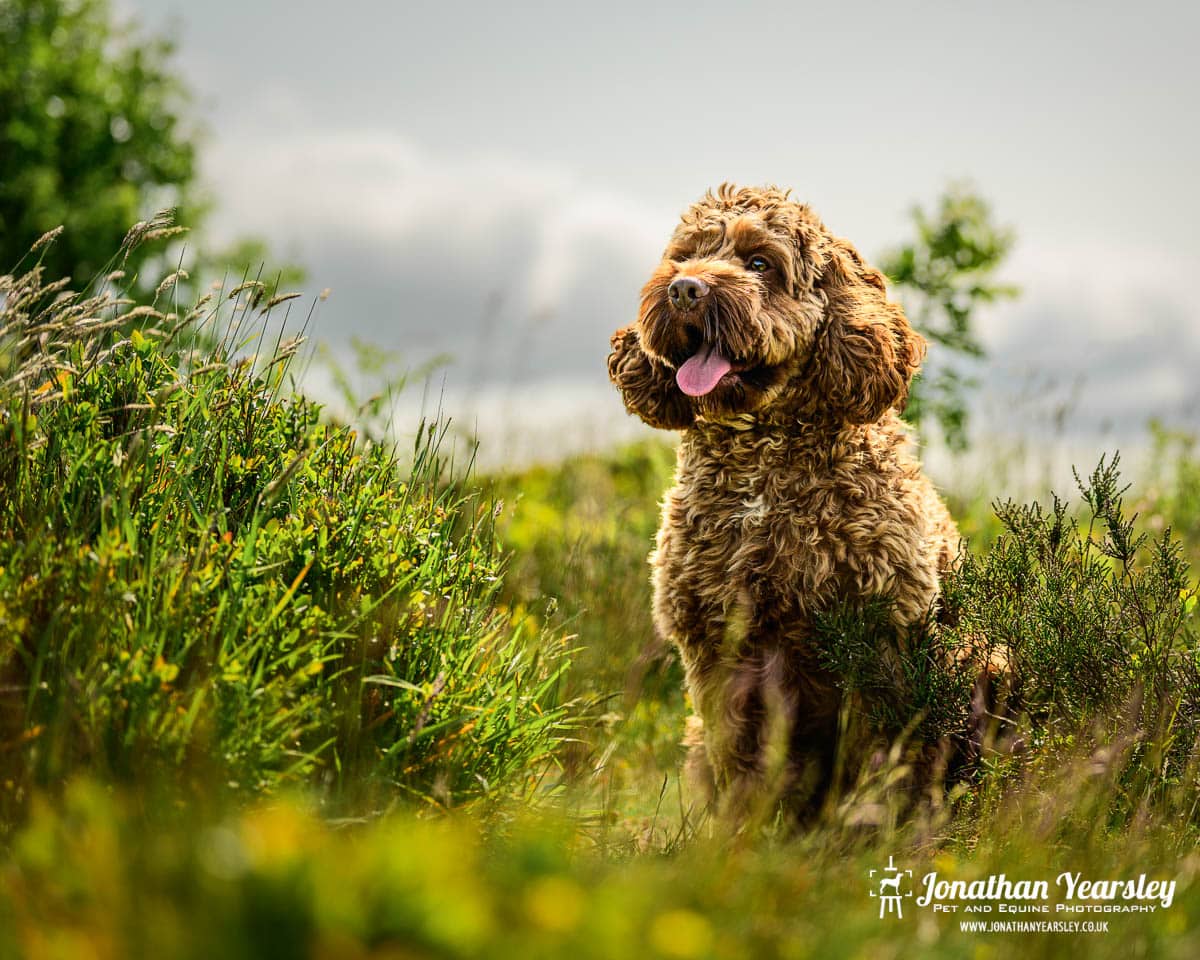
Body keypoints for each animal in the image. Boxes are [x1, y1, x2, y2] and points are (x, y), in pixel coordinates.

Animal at [609, 182, 964, 825]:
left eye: (759, 263)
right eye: (685, 256)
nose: (684, 289)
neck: (761, 462)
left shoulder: (879, 644)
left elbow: (876, 756)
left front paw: (863, 826)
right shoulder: (718, 650)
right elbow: (742, 764)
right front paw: (743, 834)